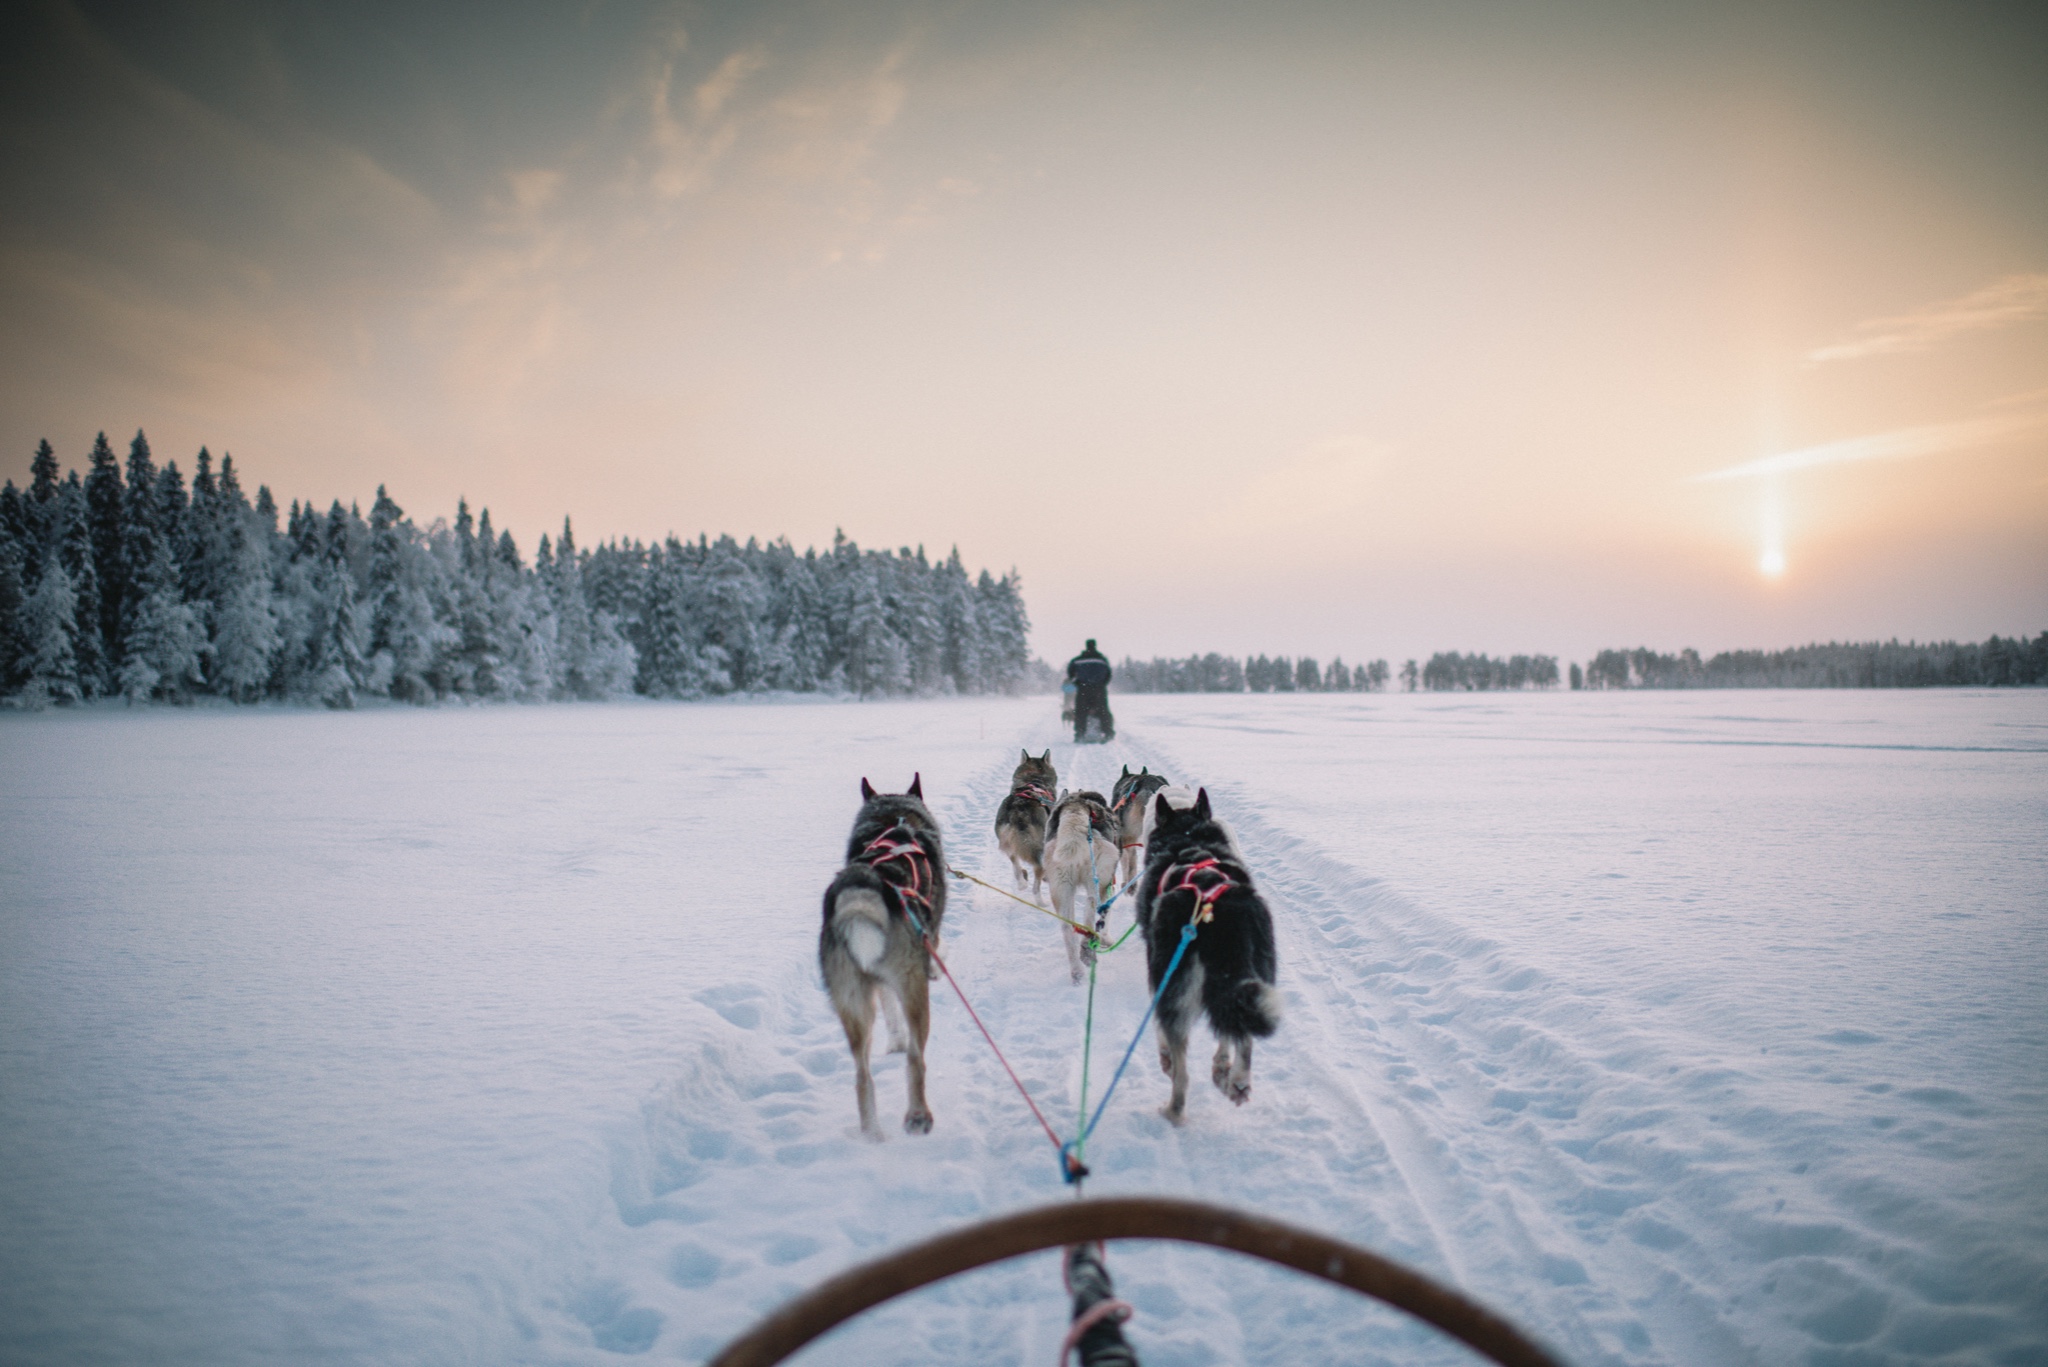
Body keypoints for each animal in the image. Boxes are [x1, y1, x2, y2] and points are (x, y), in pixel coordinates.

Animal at [815, 774, 942, 1139]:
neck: (893, 819)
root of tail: (865, 883)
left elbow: (888, 1008)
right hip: (914, 994)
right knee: (915, 1060)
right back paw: (918, 1117)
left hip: (852, 1002)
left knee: (862, 1076)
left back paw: (873, 1135)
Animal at [1040, 791, 1122, 983]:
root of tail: (1076, 806)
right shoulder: (1110, 886)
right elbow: (1106, 919)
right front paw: (1106, 939)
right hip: (1097, 883)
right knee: (1091, 917)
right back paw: (1088, 949)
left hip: (1061, 889)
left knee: (1068, 928)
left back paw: (1077, 971)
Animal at [1138, 791, 1277, 1123]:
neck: (1189, 838)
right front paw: (1222, 1067)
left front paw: (1165, 1058)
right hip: (1252, 979)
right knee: (1239, 1029)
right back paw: (1236, 1080)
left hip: (1172, 980)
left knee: (1182, 1075)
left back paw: (1172, 1111)